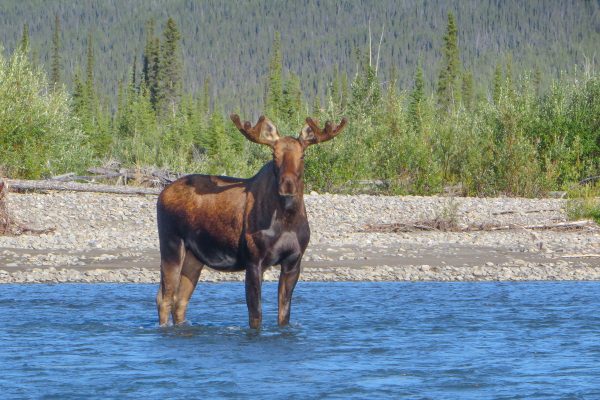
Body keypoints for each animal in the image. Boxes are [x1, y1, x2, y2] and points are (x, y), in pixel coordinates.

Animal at [156, 114, 347, 329]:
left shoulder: (293, 261)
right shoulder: (254, 260)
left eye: (303, 155)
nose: (287, 185)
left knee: (180, 301)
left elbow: (284, 316)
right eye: (274, 155)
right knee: (164, 298)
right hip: (171, 244)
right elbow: (256, 316)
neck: (287, 220)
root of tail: (162, 193)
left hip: (194, 257)